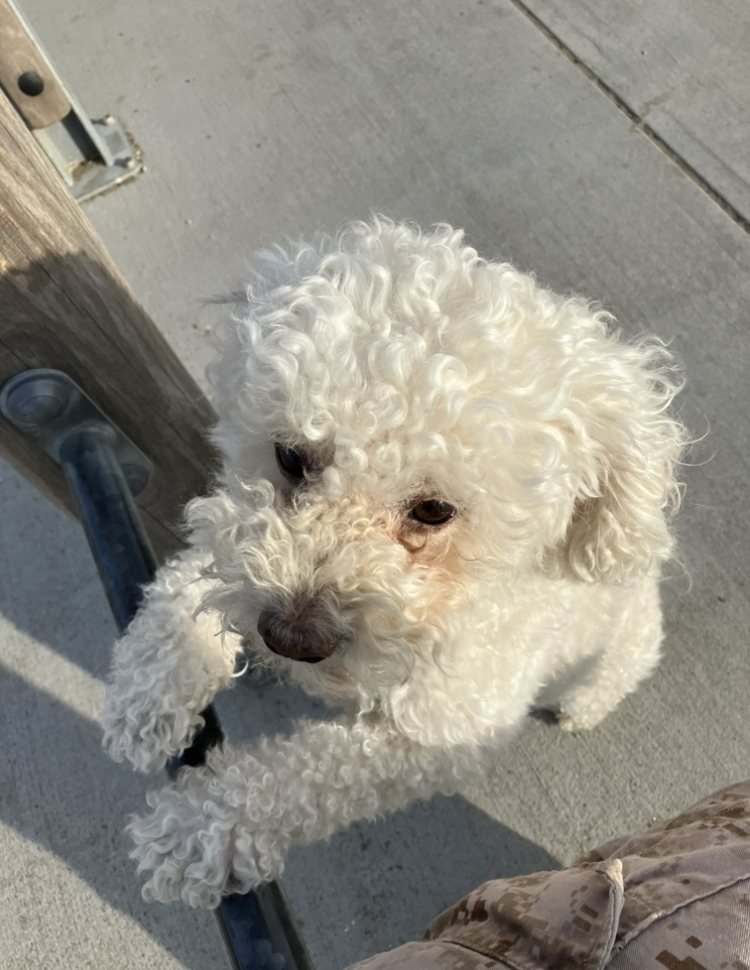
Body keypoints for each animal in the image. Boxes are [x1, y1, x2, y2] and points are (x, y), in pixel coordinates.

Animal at [101, 217, 685, 908]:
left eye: (434, 510)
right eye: (291, 456)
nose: (289, 637)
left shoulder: (447, 724)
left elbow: (304, 777)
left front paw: (197, 830)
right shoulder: (234, 538)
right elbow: (181, 587)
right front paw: (146, 698)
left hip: (620, 651)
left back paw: (580, 708)